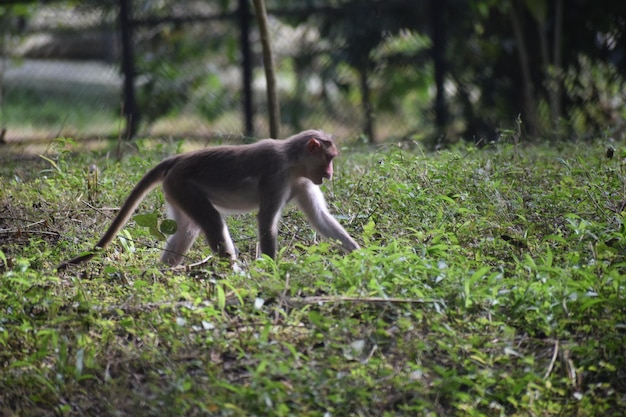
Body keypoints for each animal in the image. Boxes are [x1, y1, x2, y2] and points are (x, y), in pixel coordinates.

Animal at [59, 130, 360, 270]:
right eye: (329, 159)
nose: (330, 174)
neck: (293, 162)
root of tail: (177, 160)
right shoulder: (276, 173)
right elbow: (266, 222)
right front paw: (269, 271)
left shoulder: (303, 180)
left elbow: (320, 219)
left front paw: (361, 255)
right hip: (182, 184)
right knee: (212, 221)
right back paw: (233, 273)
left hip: (175, 190)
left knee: (188, 228)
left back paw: (162, 274)